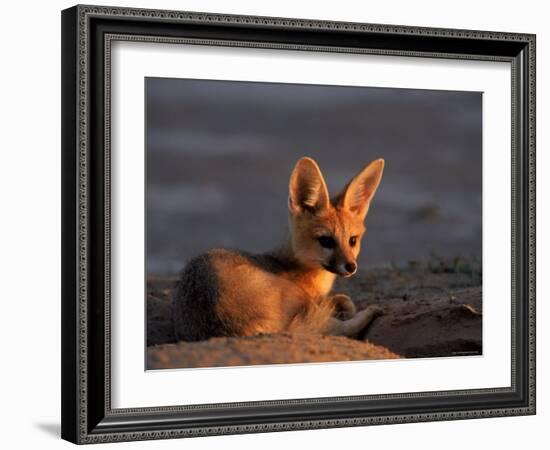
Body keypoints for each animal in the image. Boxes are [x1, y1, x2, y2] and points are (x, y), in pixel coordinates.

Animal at [175, 157, 386, 342]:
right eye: (326, 241)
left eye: (352, 240)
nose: (351, 266)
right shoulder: (309, 302)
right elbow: (340, 305)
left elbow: (341, 298)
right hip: (297, 297)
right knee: (336, 329)